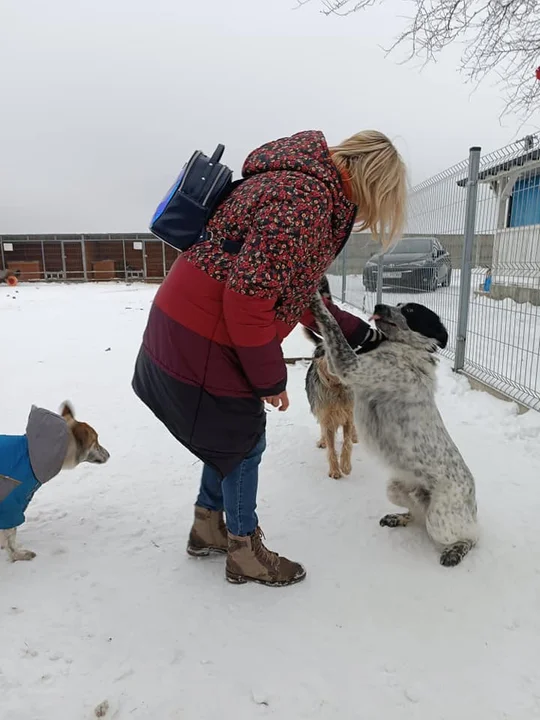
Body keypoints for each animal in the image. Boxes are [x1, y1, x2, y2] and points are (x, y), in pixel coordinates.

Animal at [0, 404, 109, 564]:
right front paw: (17, 555)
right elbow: (10, 538)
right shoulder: (11, 503)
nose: (109, 454)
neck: (30, 455)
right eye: (96, 442)